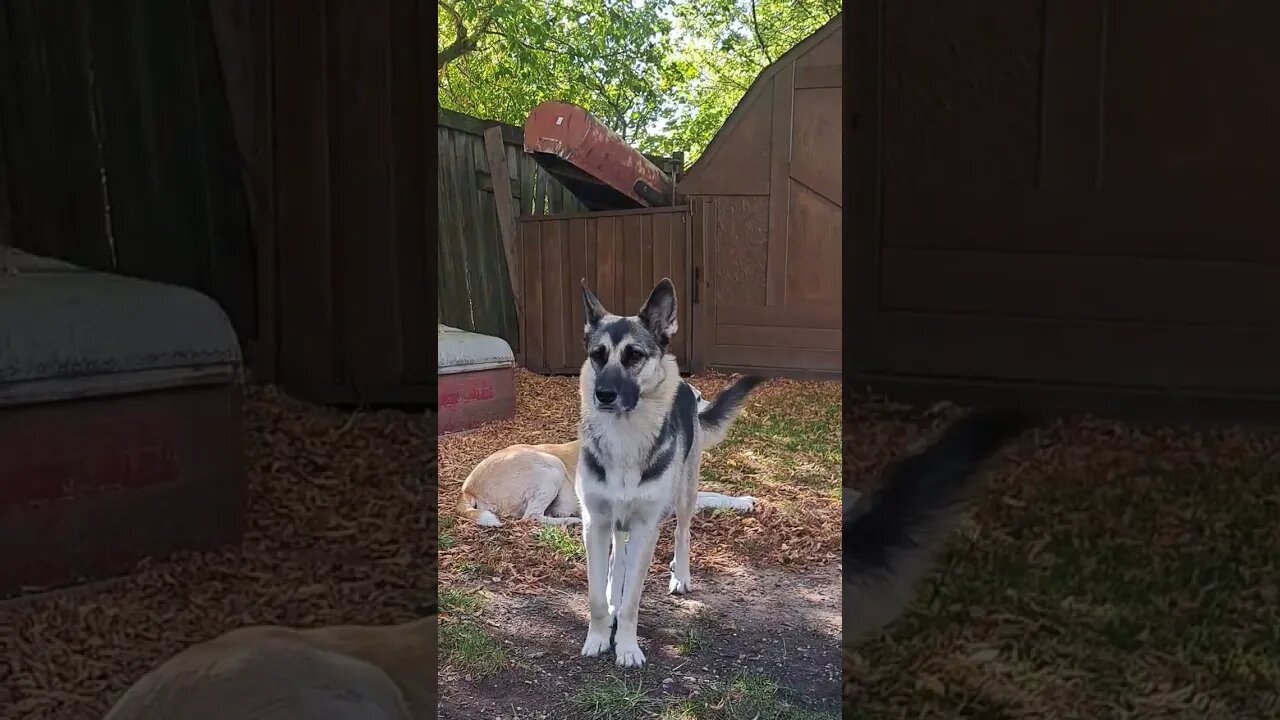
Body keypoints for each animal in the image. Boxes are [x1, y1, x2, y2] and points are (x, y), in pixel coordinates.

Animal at [455, 435, 752, 525]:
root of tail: (467, 486)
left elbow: (716, 494)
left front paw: (745, 499)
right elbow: (712, 500)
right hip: (550, 467)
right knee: (532, 518)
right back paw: (570, 522)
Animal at [576, 275, 762, 666]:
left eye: (634, 355)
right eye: (597, 355)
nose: (603, 395)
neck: (625, 437)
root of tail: (687, 387)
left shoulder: (647, 527)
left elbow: (633, 600)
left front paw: (627, 646)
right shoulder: (594, 523)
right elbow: (598, 595)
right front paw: (599, 636)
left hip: (684, 495)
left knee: (683, 532)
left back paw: (681, 576)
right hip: (617, 521)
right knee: (617, 555)